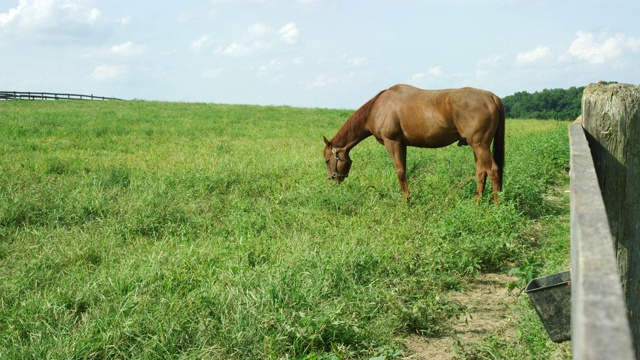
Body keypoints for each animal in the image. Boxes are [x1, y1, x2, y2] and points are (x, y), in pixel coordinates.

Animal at [324, 83, 504, 202]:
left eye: (327, 161)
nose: (333, 181)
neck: (378, 107)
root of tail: (491, 96)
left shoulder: (392, 142)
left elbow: (400, 172)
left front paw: (406, 201)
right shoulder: (402, 144)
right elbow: (404, 171)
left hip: (479, 145)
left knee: (493, 170)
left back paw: (496, 204)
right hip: (476, 146)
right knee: (481, 172)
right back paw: (477, 202)